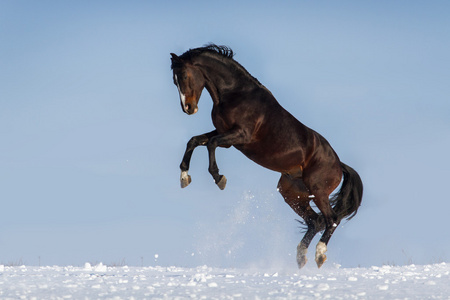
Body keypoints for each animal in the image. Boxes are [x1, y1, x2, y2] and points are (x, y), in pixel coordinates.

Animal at [169, 43, 362, 268]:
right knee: (315, 221)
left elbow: (210, 144)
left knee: (331, 219)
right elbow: (194, 141)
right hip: (292, 193)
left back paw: (319, 255)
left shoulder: (240, 136)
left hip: (318, 190)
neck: (235, 94)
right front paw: (184, 177)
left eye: (184, 75)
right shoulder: (225, 136)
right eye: (174, 80)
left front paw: (219, 178)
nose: (188, 108)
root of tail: (339, 164)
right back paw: (300, 257)